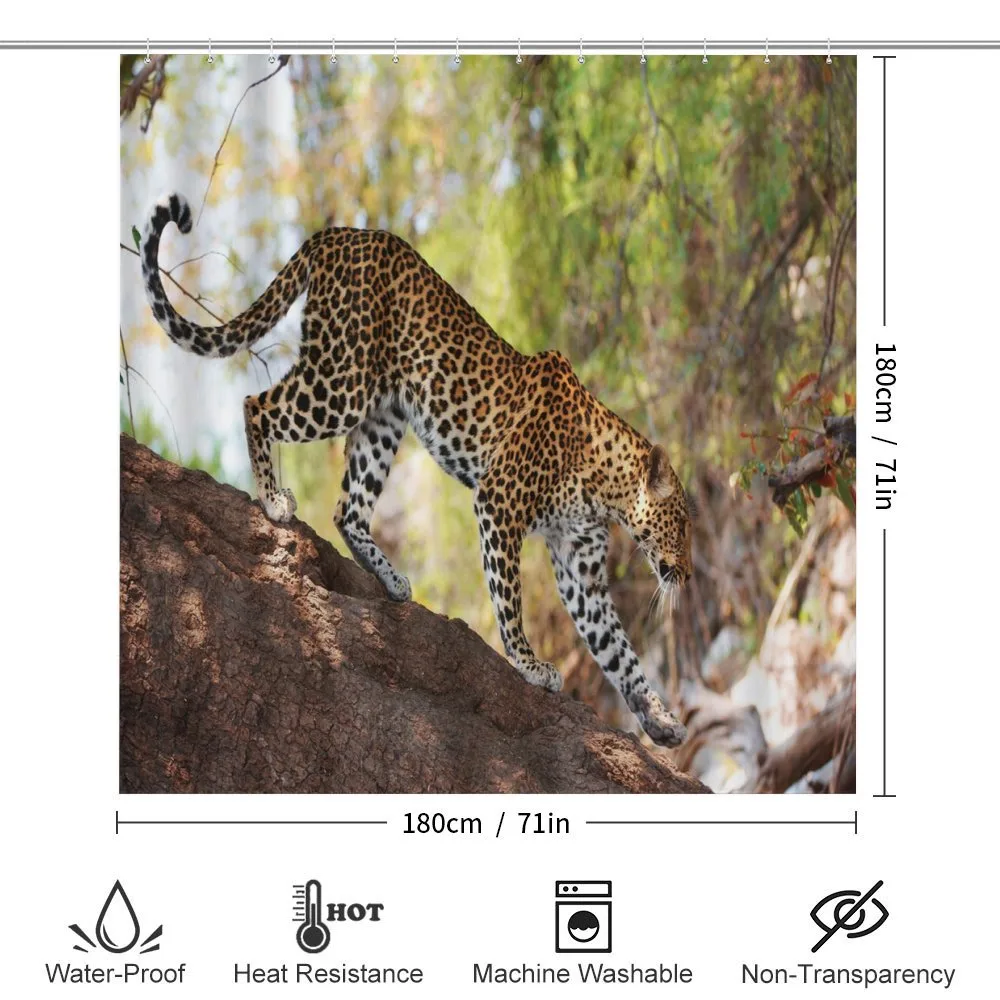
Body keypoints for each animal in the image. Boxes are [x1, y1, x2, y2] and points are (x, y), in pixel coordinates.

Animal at [140, 193, 693, 747]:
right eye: (685, 524)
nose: (688, 575)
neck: (606, 489)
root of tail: (342, 233)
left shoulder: (581, 568)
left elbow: (619, 650)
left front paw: (660, 717)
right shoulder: (499, 503)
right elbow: (510, 596)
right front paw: (529, 663)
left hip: (383, 418)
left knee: (348, 510)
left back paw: (391, 580)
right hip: (340, 383)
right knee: (258, 405)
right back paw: (273, 500)